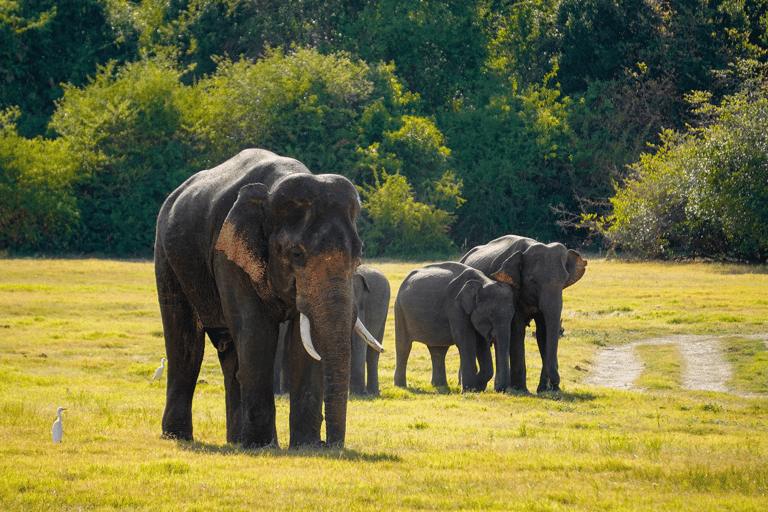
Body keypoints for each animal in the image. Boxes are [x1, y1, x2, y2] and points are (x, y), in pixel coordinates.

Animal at [396, 262, 516, 390]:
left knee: (438, 350)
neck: (483, 281)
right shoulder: (456, 307)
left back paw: (439, 385)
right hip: (399, 309)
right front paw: (470, 389)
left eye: (512, 315)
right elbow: (466, 342)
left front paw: (476, 386)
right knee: (403, 346)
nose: (499, 389)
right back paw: (400, 386)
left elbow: (481, 343)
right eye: (491, 315)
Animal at [462, 234, 588, 394]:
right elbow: (517, 330)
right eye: (533, 281)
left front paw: (545, 390)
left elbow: (543, 332)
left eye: (564, 280)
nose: (554, 384)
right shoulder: (512, 289)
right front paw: (521, 390)